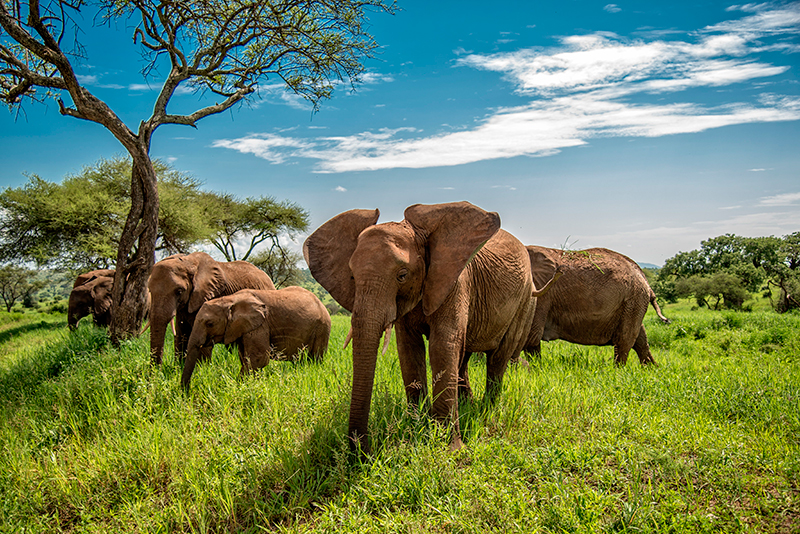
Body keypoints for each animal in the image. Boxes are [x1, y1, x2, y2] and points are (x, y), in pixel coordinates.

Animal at [147, 253, 276, 366]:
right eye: (150, 291)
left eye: (179, 291)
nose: (156, 371)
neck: (188, 263)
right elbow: (181, 335)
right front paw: (177, 368)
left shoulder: (210, 295)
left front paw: (201, 369)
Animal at [182, 286, 332, 392]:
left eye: (210, 324)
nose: (186, 392)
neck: (230, 299)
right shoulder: (244, 328)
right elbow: (245, 358)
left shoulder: (260, 324)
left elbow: (259, 358)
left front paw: (236, 387)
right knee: (300, 360)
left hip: (322, 327)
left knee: (315, 358)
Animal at [300, 203, 556, 454]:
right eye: (352, 276)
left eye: (402, 275)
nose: (363, 453)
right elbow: (409, 350)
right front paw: (416, 426)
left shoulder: (455, 283)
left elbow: (442, 346)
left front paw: (450, 448)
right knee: (464, 356)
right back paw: (468, 405)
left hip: (525, 301)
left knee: (498, 357)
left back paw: (486, 410)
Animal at [524, 248, 668, 368]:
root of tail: (644, 278)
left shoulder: (541, 294)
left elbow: (531, 336)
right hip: (634, 303)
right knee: (640, 339)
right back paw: (652, 369)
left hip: (633, 299)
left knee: (624, 340)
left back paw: (618, 372)